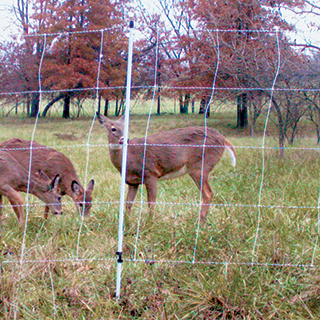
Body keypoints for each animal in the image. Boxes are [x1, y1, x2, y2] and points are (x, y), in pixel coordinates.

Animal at [96, 114, 236, 221]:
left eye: (126, 127)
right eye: (113, 129)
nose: (124, 139)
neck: (128, 158)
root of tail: (222, 138)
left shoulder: (150, 173)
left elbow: (151, 203)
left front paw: (150, 222)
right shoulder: (132, 182)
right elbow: (128, 204)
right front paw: (127, 222)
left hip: (200, 166)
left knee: (208, 193)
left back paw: (200, 221)